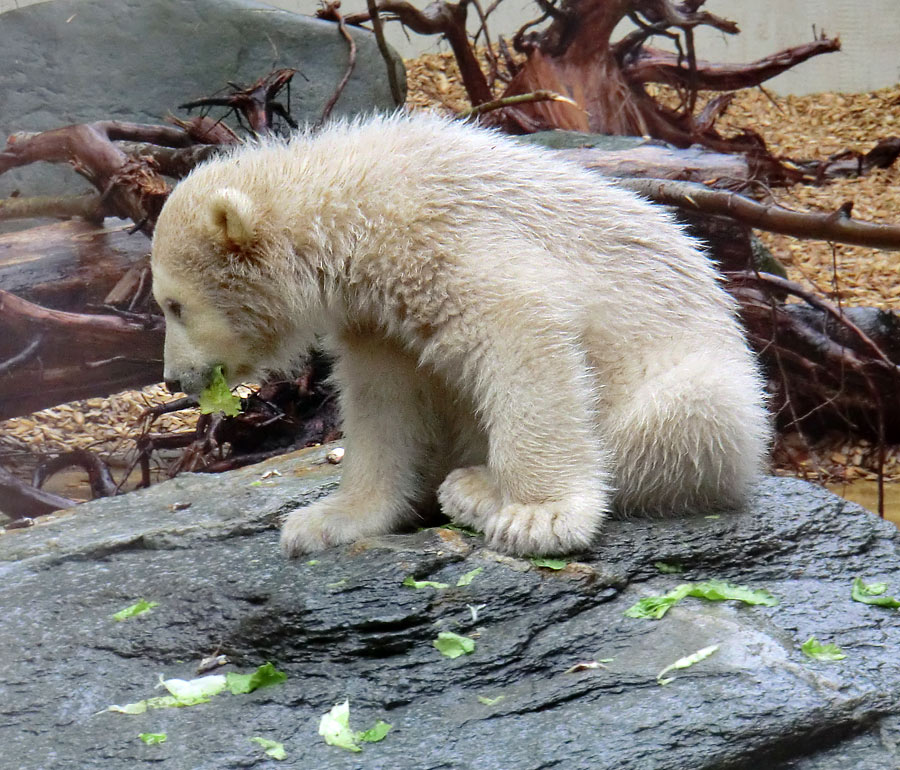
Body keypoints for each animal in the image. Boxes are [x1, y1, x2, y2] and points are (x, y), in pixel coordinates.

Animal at [151, 111, 768, 556]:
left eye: (174, 305)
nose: (174, 379)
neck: (354, 205)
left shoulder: (447, 240)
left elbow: (525, 338)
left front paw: (540, 515)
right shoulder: (375, 318)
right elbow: (383, 407)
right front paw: (324, 520)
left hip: (705, 374)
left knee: (689, 413)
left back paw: (475, 489)